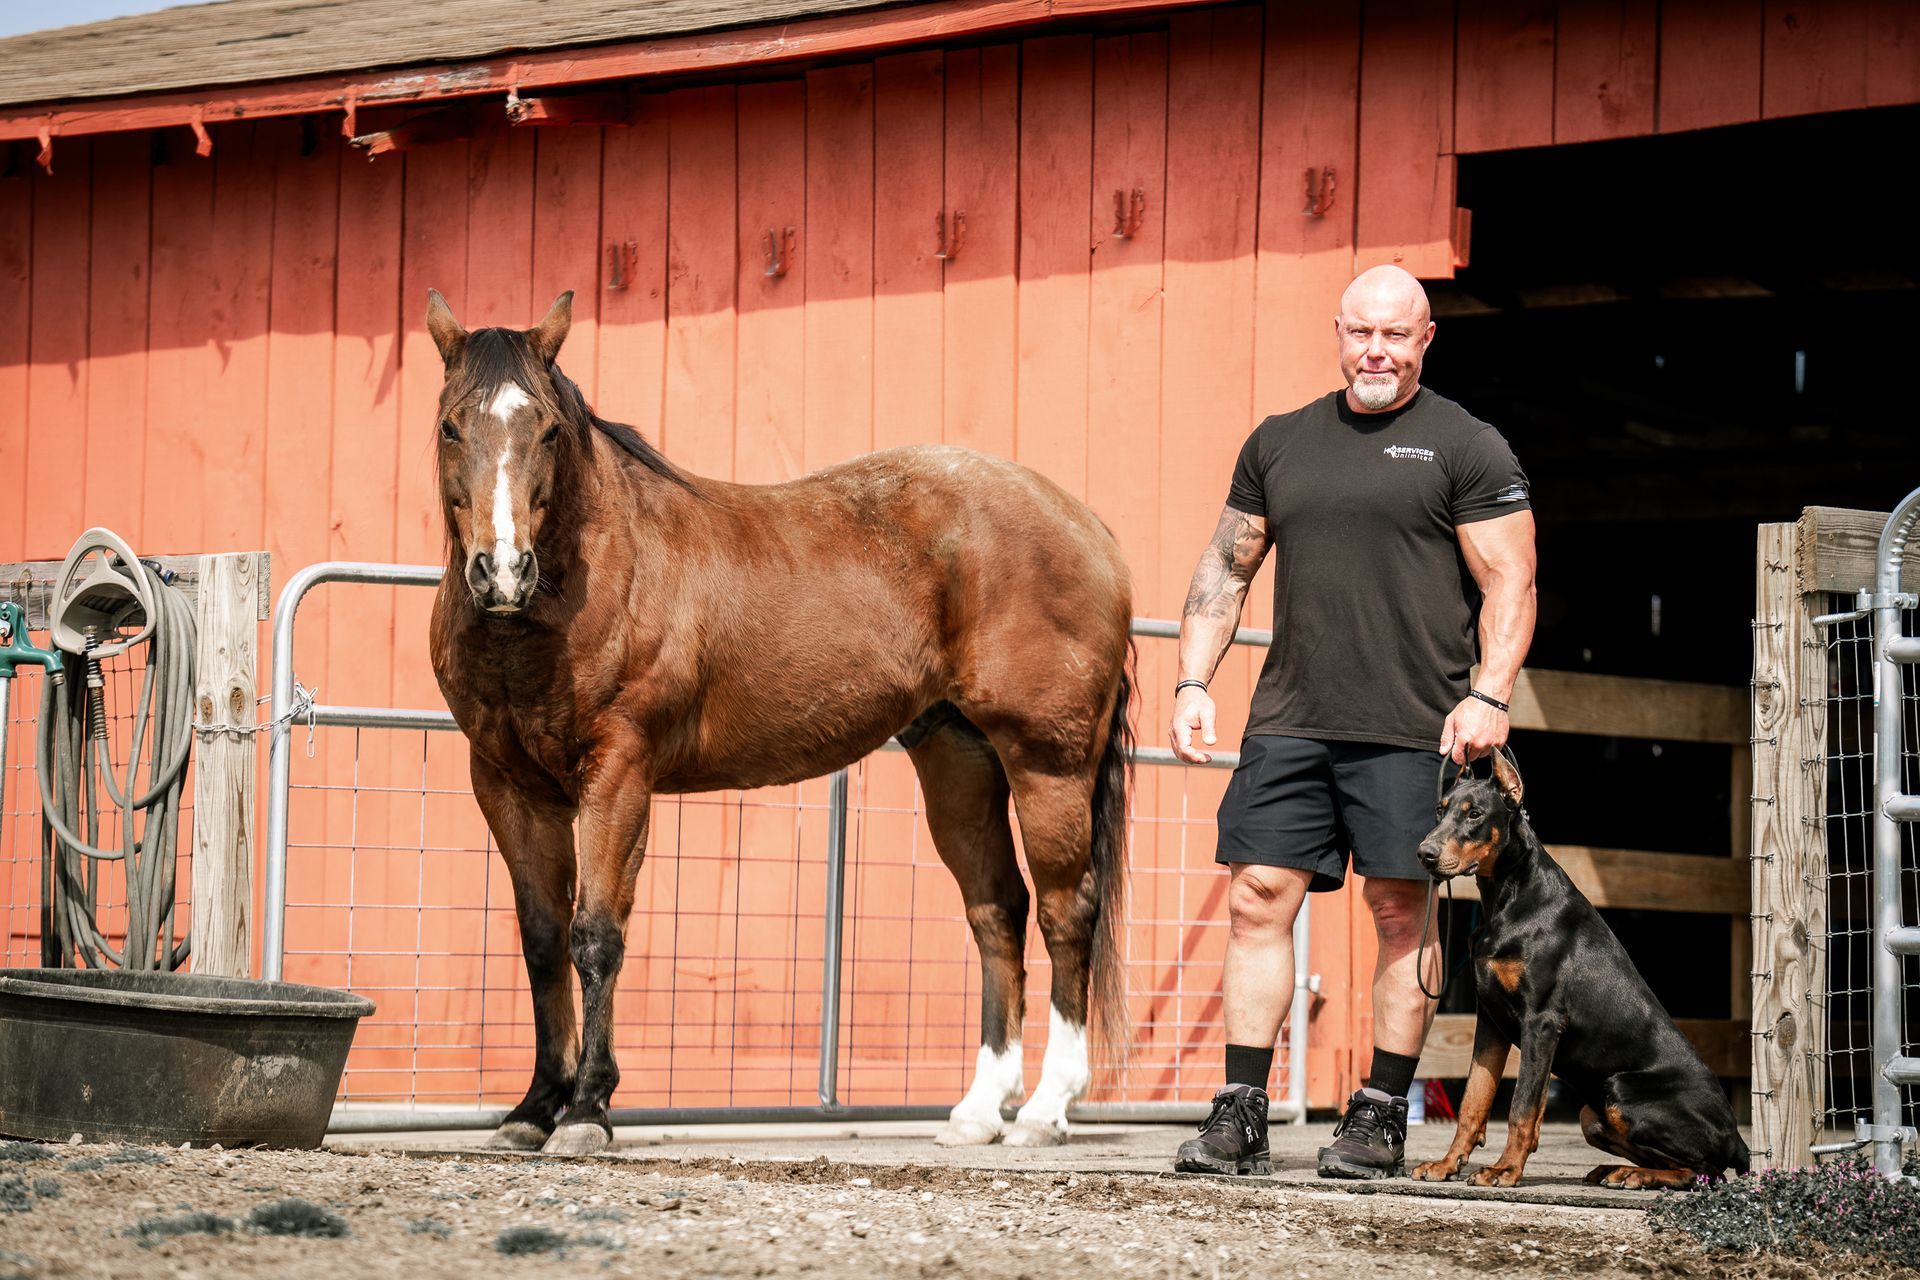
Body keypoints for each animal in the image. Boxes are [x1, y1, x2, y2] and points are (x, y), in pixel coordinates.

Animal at [423, 290, 1135, 1155]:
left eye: (549, 429)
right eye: (451, 425)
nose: (502, 571)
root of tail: (1086, 525)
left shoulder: (618, 774)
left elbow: (596, 935)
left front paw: (588, 1111)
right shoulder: (507, 785)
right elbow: (541, 941)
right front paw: (533, 1108)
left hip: (1046, 762)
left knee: (1069, 910)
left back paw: (1044, 1110)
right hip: (959, 762)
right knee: (998, 910)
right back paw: (977, 1111)